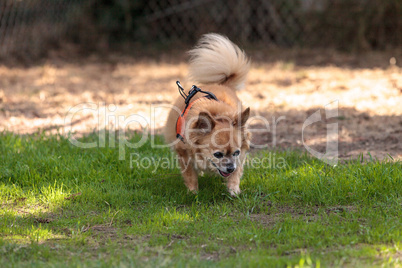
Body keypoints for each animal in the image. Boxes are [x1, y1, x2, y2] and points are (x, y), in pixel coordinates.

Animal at [165, 33, 250, 195]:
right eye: (218, 154)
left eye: (236, 153)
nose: (230, 168)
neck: (217, 115)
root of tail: (221, 83)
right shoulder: (183, 152)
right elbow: (190, 174)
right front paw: (193, 192)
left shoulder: (240, 154)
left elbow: (237, 172)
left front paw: (233, 189)